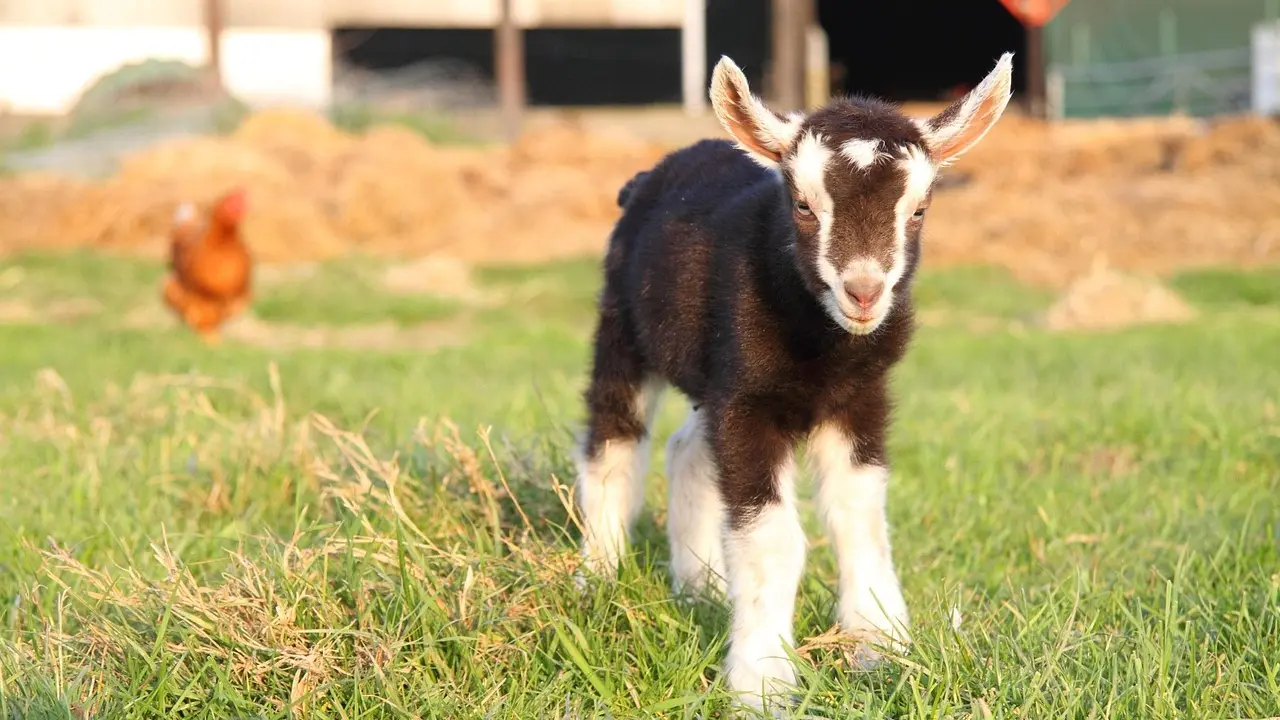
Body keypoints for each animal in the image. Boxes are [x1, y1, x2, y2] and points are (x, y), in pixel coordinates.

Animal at [572, 53, 1014, 712]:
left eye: (918, 210)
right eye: (803, 206)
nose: (863, 292)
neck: (822, 351)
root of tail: (651, 175)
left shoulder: (859, 399)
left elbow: (860, 518)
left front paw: (880, 647)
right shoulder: (748, 403)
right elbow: (773, 539)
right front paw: (763, 684)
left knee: (687, 452)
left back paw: (699, 587)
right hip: (623, 326)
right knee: (614, 442)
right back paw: (596, 579)